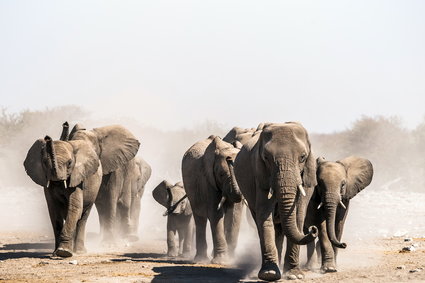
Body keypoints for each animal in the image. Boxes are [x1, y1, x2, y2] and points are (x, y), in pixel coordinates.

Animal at [181, 136, 243, 266]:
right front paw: (222, 261)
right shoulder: (208, 180)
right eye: (221, 175)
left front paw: (231, 260)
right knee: (200, 218)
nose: (229, 159)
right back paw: (200, 260)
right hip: (192, 189)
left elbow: (235, 214)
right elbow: (215, 214)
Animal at [232, 122, 318, 282]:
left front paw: (294, 275)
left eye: (302, 157)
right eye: (266, 157)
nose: (313, 229)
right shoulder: (260, 176)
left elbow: (298, 216)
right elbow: (265, 216)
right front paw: (269, 274)